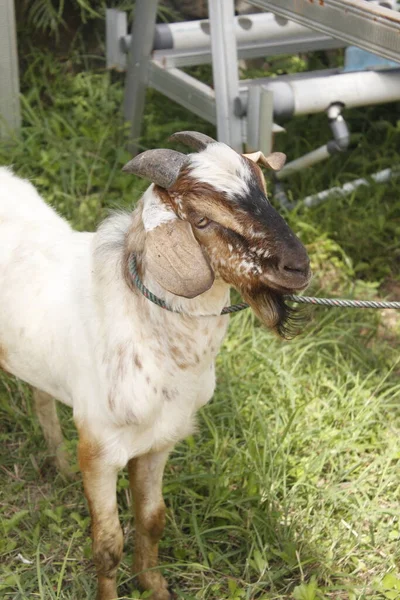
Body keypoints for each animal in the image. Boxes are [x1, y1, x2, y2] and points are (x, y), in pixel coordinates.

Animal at [0, 131, 310, 600]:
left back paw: (59, 464)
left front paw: (154, 586)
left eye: (264, 193)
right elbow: (108, 542)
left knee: (40, 396)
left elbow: (152, 519)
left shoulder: (159, 442)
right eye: (201, 219)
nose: (298, 266)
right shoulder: (99, 450)